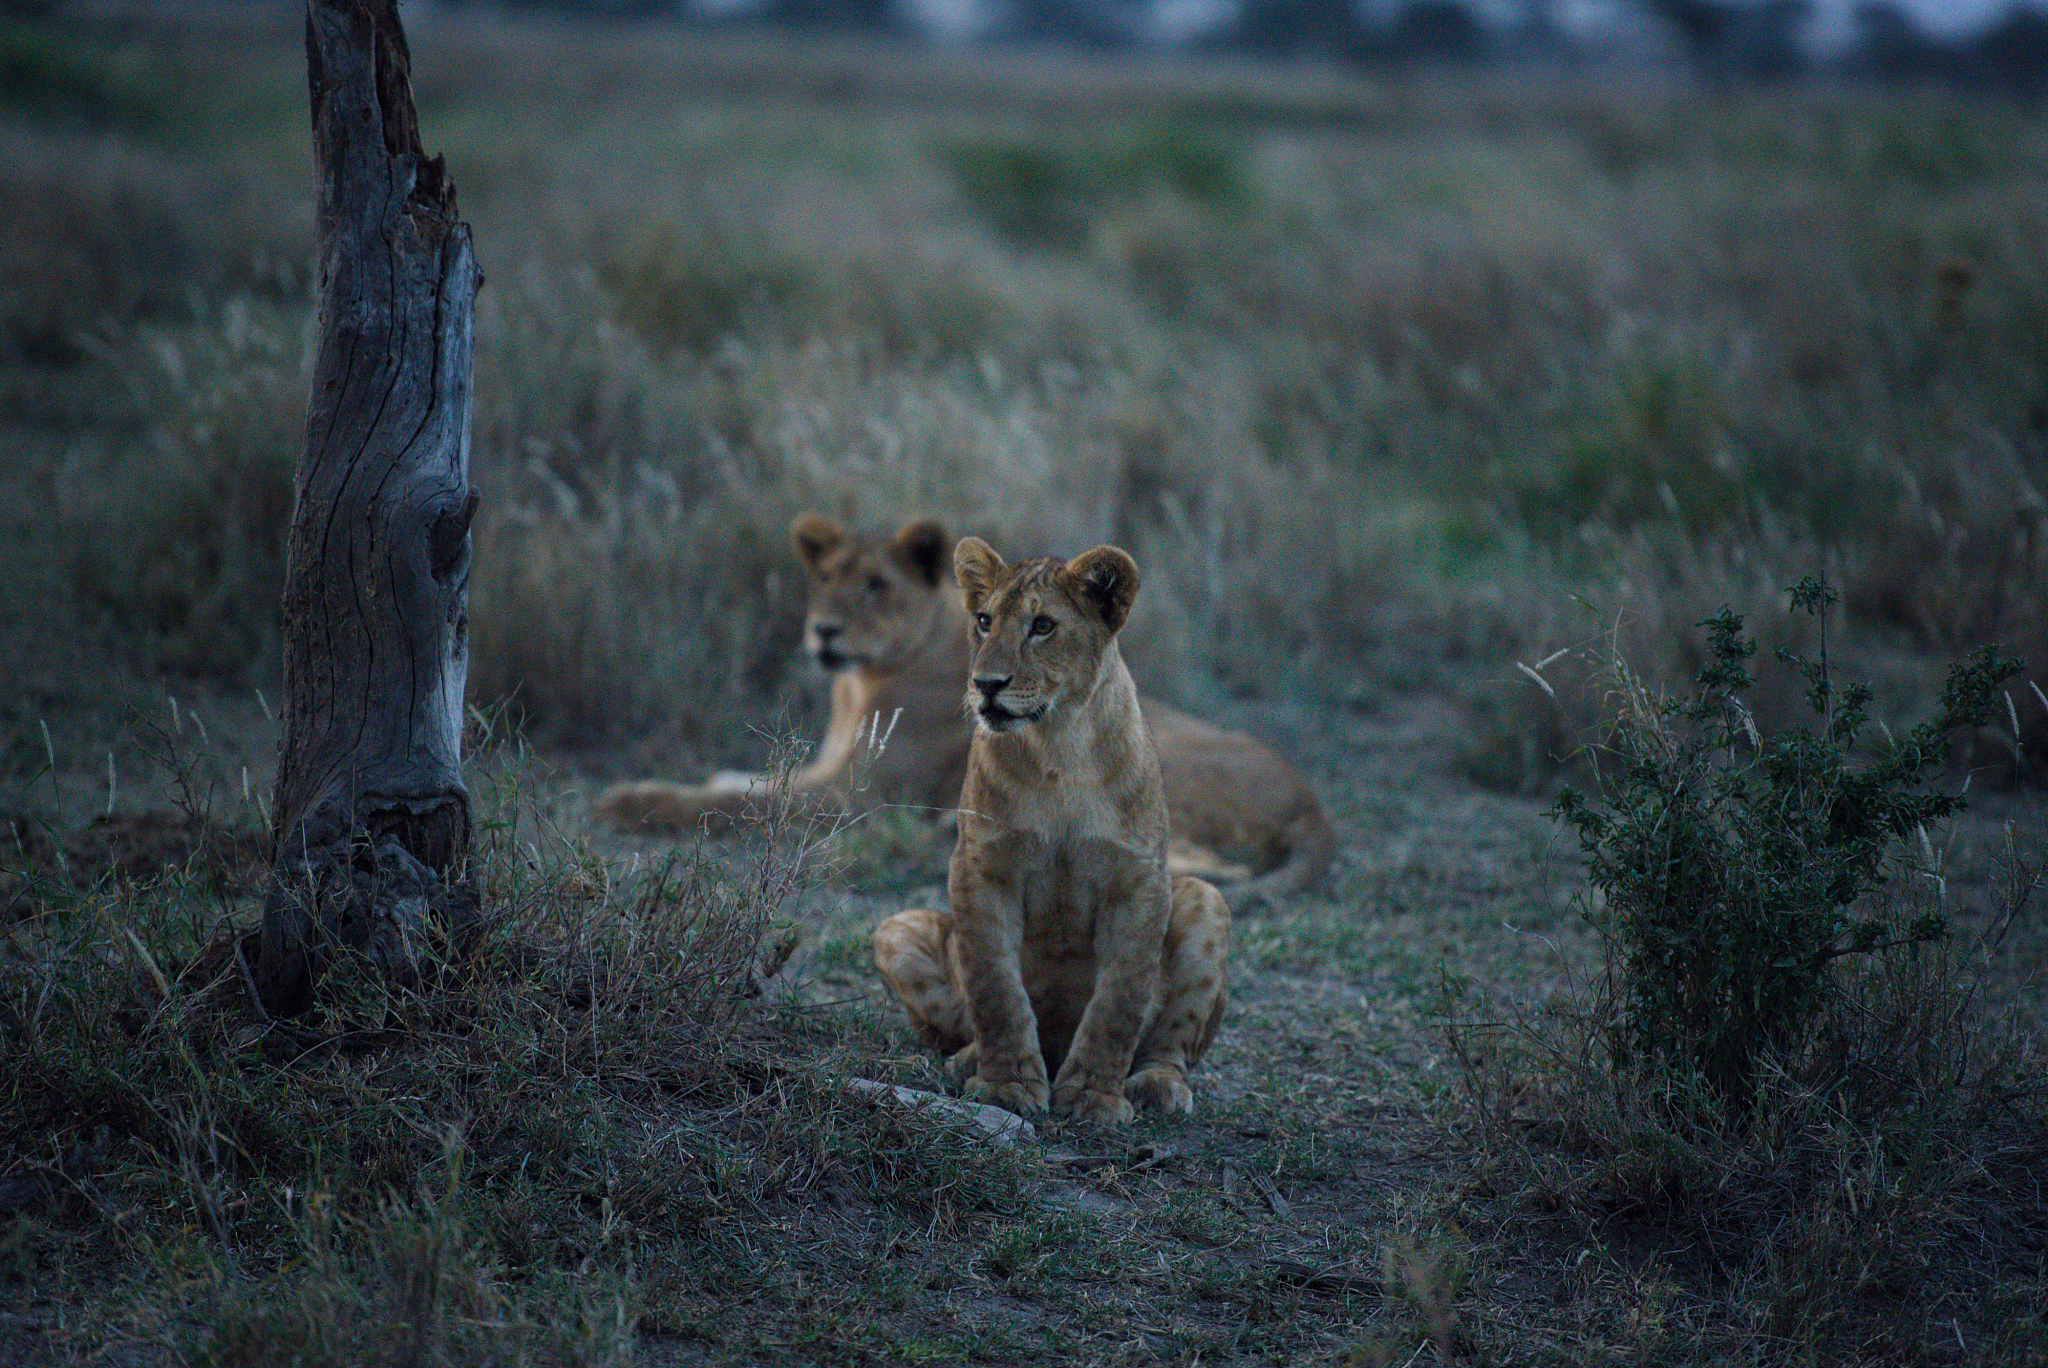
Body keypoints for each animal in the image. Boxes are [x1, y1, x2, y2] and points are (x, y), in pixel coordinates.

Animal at [595, 514, 1336, 907]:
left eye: (876, 586)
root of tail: (1313, 804)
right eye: (825, 578)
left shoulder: (849, 796)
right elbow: (737, 780)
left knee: (1199, 867)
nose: (823, 631)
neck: (858, 684)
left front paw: (627, 800)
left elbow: (731, 802)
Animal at [872, 538, 1229, 1124]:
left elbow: (1119, 1000)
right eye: (984, 621)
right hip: (896, 928)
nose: (986, 685)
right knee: (961, 1020)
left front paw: (1093, 1097)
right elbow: (996, 990)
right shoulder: (981, 869)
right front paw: (1007, 1086)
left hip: (1206, 898)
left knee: (1172, 1043)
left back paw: (1156, 1084)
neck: (1059, 743)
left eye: (1042, 626)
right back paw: (968, 1061)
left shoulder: (1139, 879)